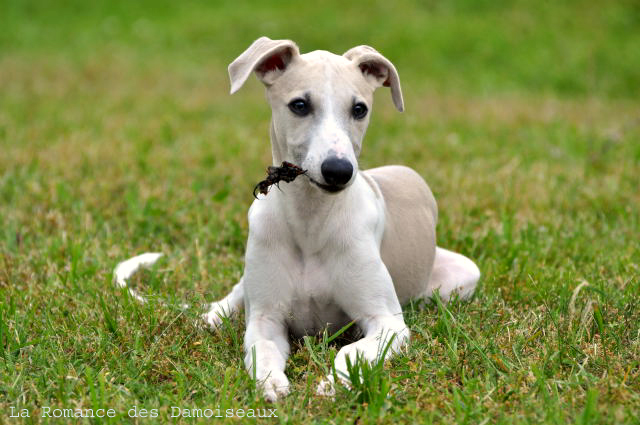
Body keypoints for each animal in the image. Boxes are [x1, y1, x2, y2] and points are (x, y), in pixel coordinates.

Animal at [117, 36, 482, 400]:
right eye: (300, 105)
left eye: (359, 109)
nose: (339, 171)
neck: (311, 220)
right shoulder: (266, 319)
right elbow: (261, 348)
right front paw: (271, 383)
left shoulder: (387, 322)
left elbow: (351, 350)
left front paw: (334, 383)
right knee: (224, 306)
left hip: (462, 276)